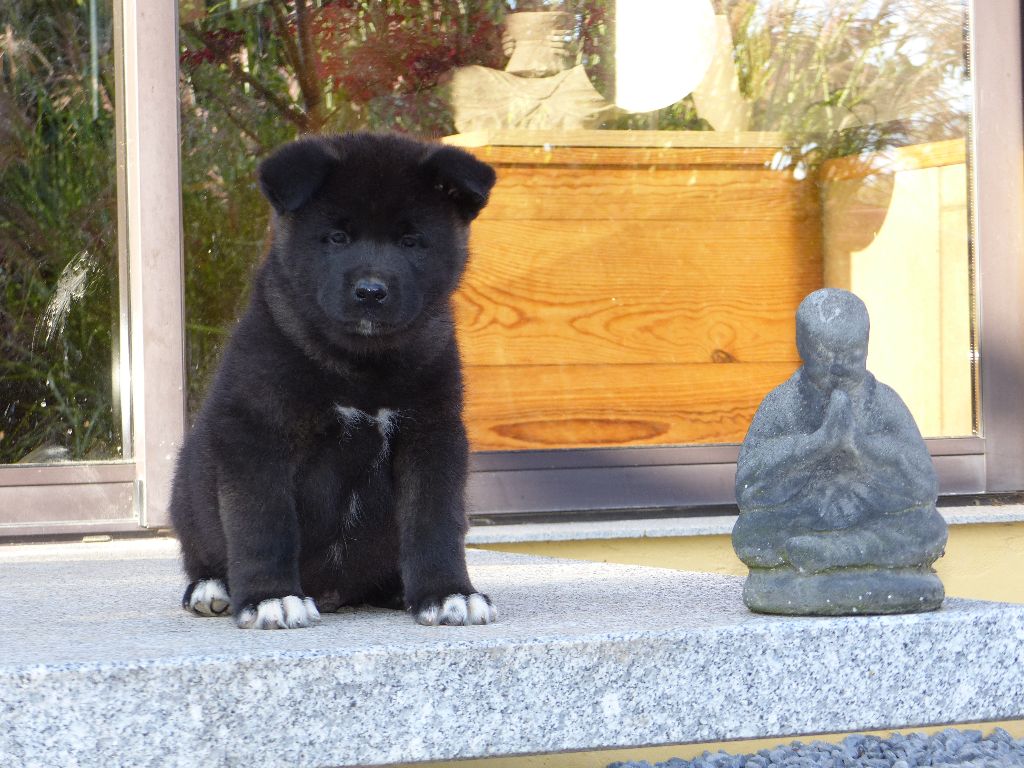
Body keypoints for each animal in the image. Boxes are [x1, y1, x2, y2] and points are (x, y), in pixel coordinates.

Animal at [169, 132, 497, 629]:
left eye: (410, 241)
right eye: (337, 237)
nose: (371, 292)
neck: (360, 365)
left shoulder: (433, 433)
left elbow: (435, 521)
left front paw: (447, 592)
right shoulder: (256, 432)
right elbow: (263, 523)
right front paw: (270, 597)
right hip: (187, 489)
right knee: (203, 552)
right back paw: (212, 588)